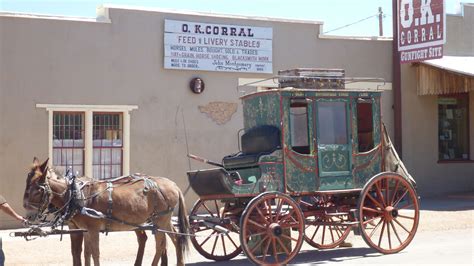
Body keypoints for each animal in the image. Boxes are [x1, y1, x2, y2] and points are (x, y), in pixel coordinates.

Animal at [22, 159, 189, 264]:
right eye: (27, 185)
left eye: (37, 190)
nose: (28, 216)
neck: (77, 195)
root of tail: (173, 184)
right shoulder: (82, 229)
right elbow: (85, 253)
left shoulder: (93, 228)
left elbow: (95, 253)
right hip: (161, 221)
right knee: (175, 239)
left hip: (160, 220)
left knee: (161, 245)